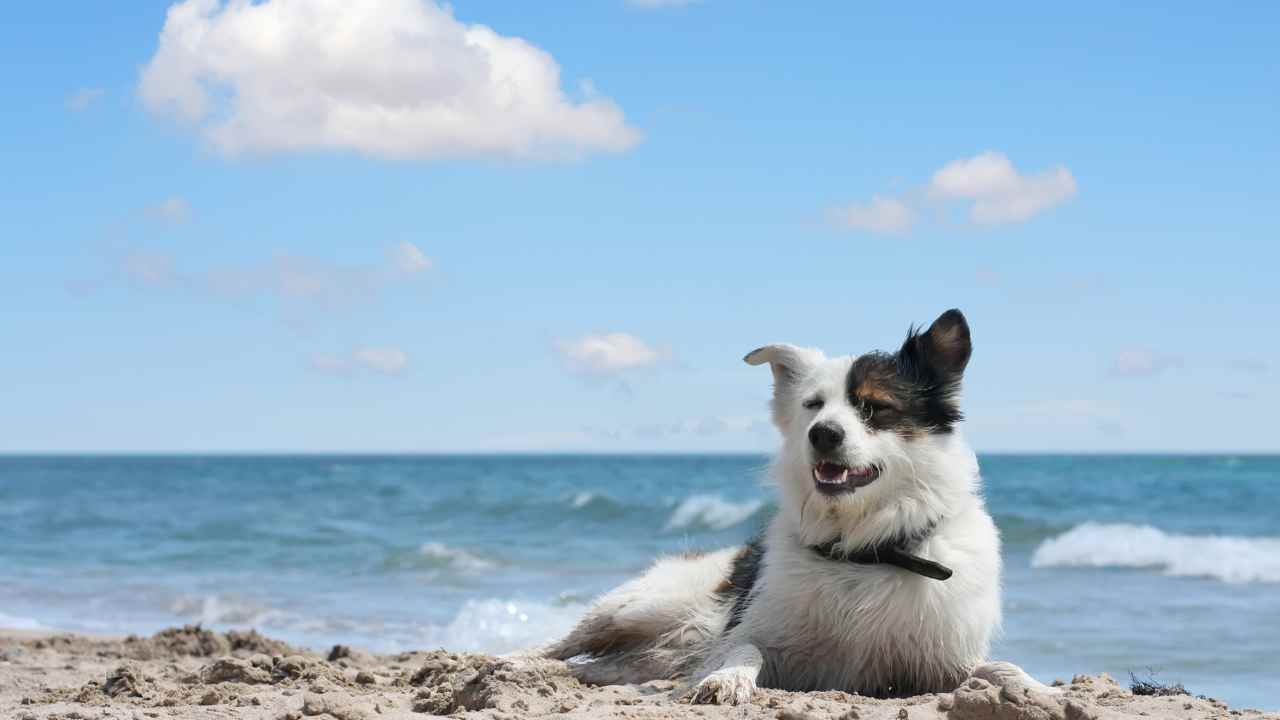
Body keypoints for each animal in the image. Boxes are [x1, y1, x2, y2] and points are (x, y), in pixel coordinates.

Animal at [540, 307, 1049, 702]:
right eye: (813, 404)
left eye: (873, 407)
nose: (822, 434)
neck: (862, 548)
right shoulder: (755, 635)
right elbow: (744, 648)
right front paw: (727, 679)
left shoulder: (940, 660)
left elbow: (999, 667)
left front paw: (1035, 688)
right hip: (640, 607)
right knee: (561, 645)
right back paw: (524, 664)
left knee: (597, 668)